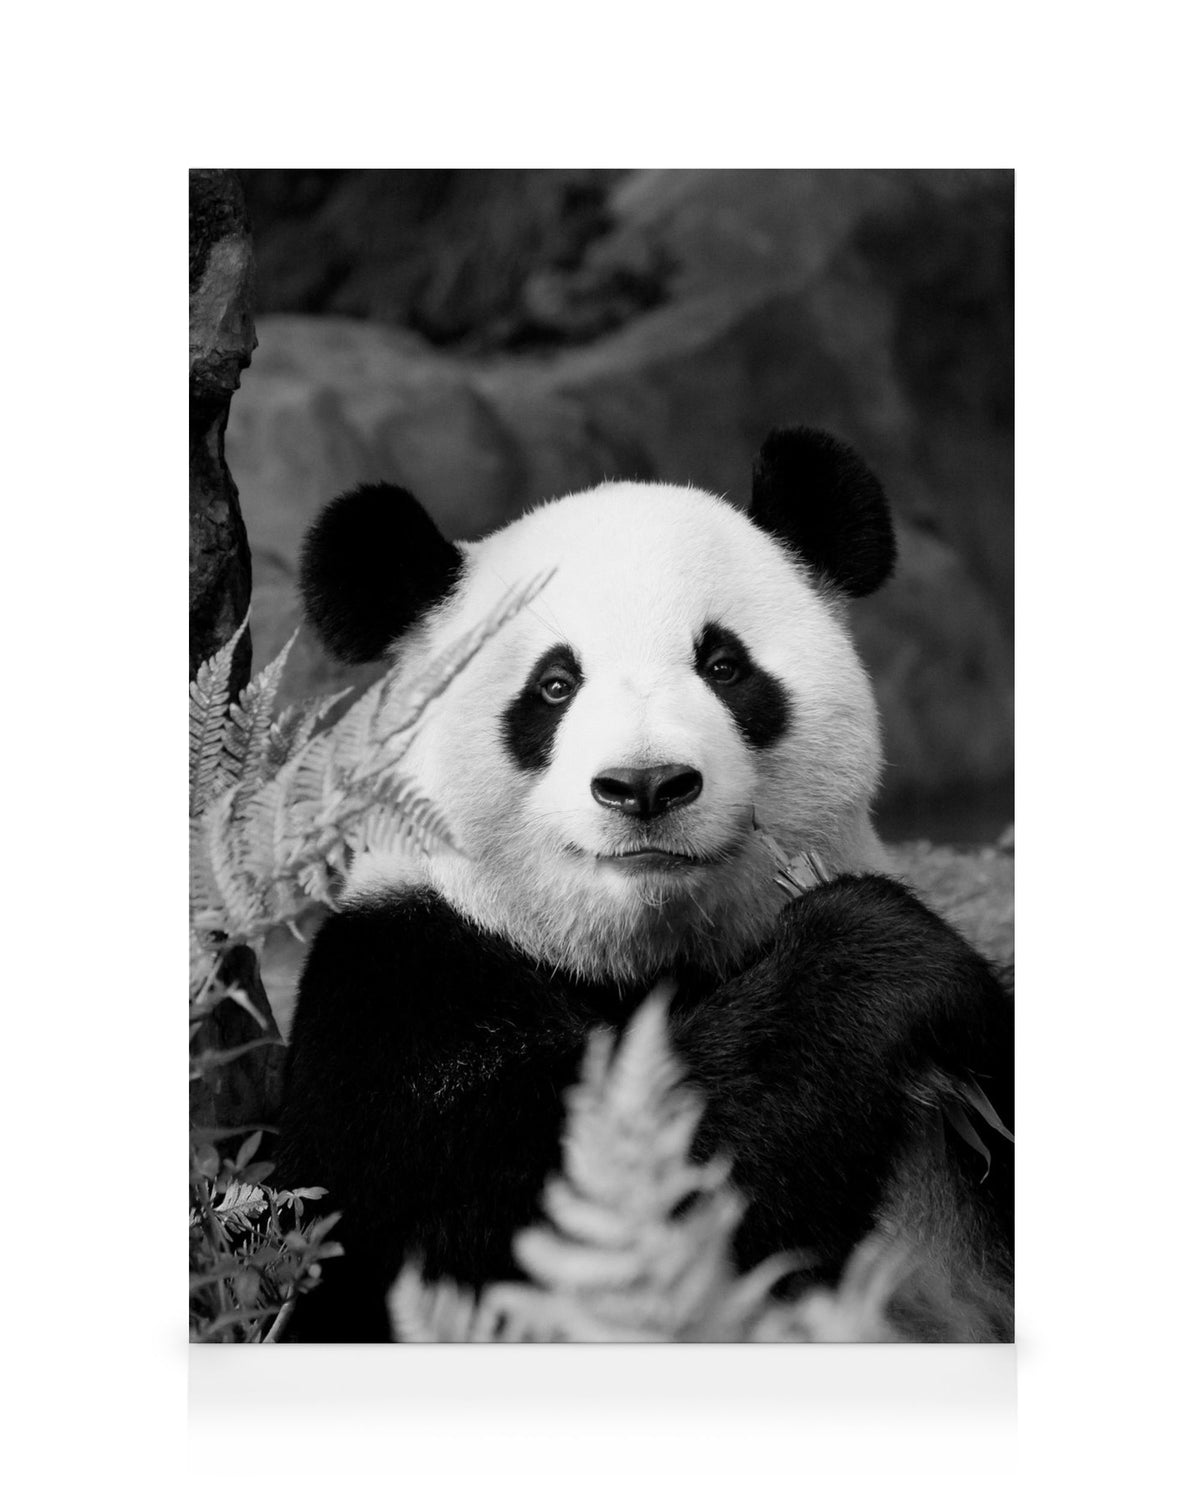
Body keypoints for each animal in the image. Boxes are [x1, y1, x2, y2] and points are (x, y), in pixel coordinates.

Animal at [275, 426, 1014, 1343]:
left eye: (724, 665)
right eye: (554, 686)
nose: (648, 785)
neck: (643, 954)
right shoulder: (396, 990)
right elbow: (542, 1212)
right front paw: (877, 955)